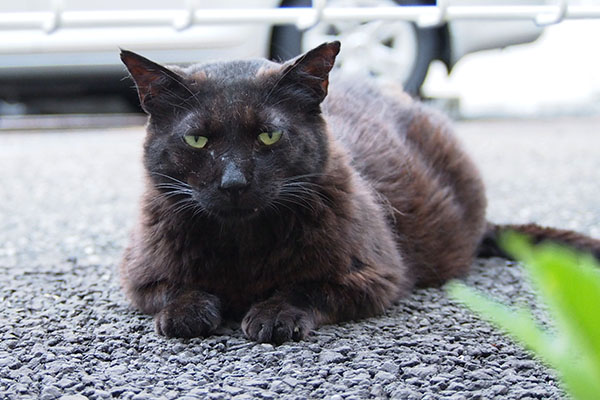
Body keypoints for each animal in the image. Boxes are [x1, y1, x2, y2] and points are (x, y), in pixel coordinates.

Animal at [118, 42, 600, 346]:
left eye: (269, 135)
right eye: (197, 141)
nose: (234, 182)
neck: (243, 248)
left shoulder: (376, 275)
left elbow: (306, 287)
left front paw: (274, 313)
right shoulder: (138, 276)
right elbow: (175, 289)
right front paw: (188, 310)